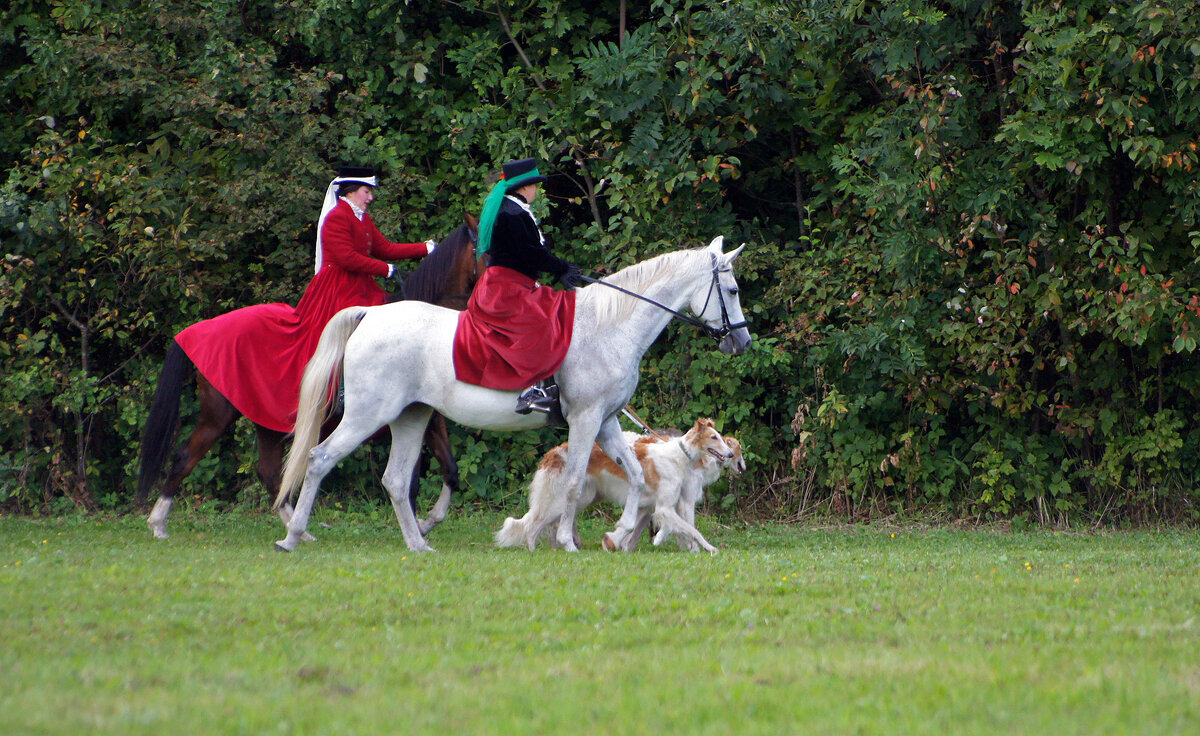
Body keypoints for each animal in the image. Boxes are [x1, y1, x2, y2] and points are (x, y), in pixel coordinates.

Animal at [137, 214, 482, 537]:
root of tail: (198, 330)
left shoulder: (430, 416)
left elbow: (450, 471)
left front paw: (424, 524)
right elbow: (413, 482)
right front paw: (416, 527)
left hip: (265, 420)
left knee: (268, 472)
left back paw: (299, 531)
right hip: (218, 415)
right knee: (185, 459)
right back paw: (158, 523)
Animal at [494, 420, 739, 552]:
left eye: (720, 437)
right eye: (714, 437)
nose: (730, 454)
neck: (679, 456)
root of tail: (552, 452)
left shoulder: (653, 506)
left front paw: (616, 544)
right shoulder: (663, 508)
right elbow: (692, 530)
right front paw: (710, 549)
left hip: (582, 498)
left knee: (547, 525)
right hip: (561, 501)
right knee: (534, 525)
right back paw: (539, 550)